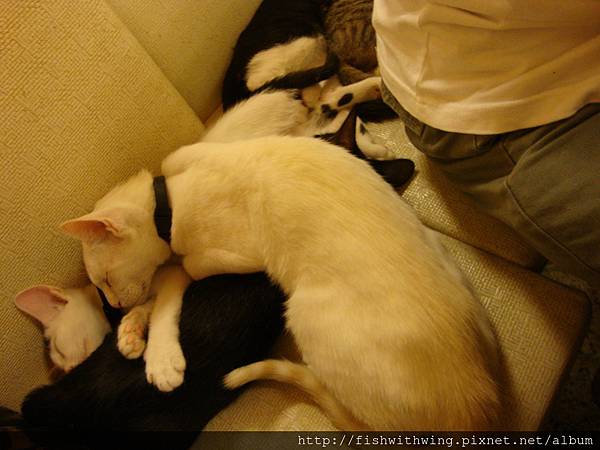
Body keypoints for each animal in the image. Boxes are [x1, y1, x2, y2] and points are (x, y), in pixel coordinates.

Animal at [61, 134, 502, 432]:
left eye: (103, 280)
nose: (114, 307)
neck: (169, 195)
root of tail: (475, 411)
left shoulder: (216, 260)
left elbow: (170, 284)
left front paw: (159, 355)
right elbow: (159, 290)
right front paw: (132, 332)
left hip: (304, 314)